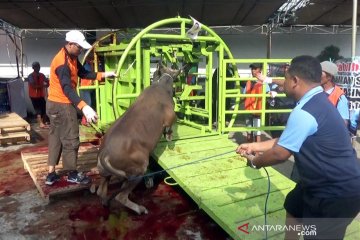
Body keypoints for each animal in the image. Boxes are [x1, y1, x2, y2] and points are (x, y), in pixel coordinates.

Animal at [90, 63, 179, 214]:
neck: (161, 85)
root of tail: (104, 153)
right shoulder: (170, 116)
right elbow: (170, 127)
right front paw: (169, 137)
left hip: (105, 173)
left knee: (101, 191)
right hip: (138, 169)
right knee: (121, 196)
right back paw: (140, 209)